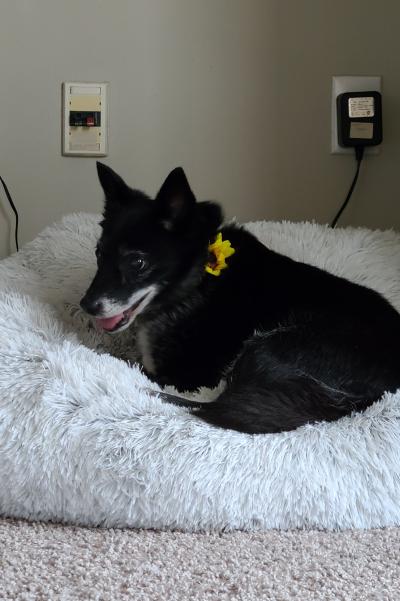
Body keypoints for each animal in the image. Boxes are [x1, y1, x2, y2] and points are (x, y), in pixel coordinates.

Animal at [79, 164, 400, 434]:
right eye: (98, 253)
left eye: (137, 262)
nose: (86, 306)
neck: (197, 280)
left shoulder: (189, 375)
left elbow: (129, 363)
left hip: (265, 347)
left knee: (212, 406)